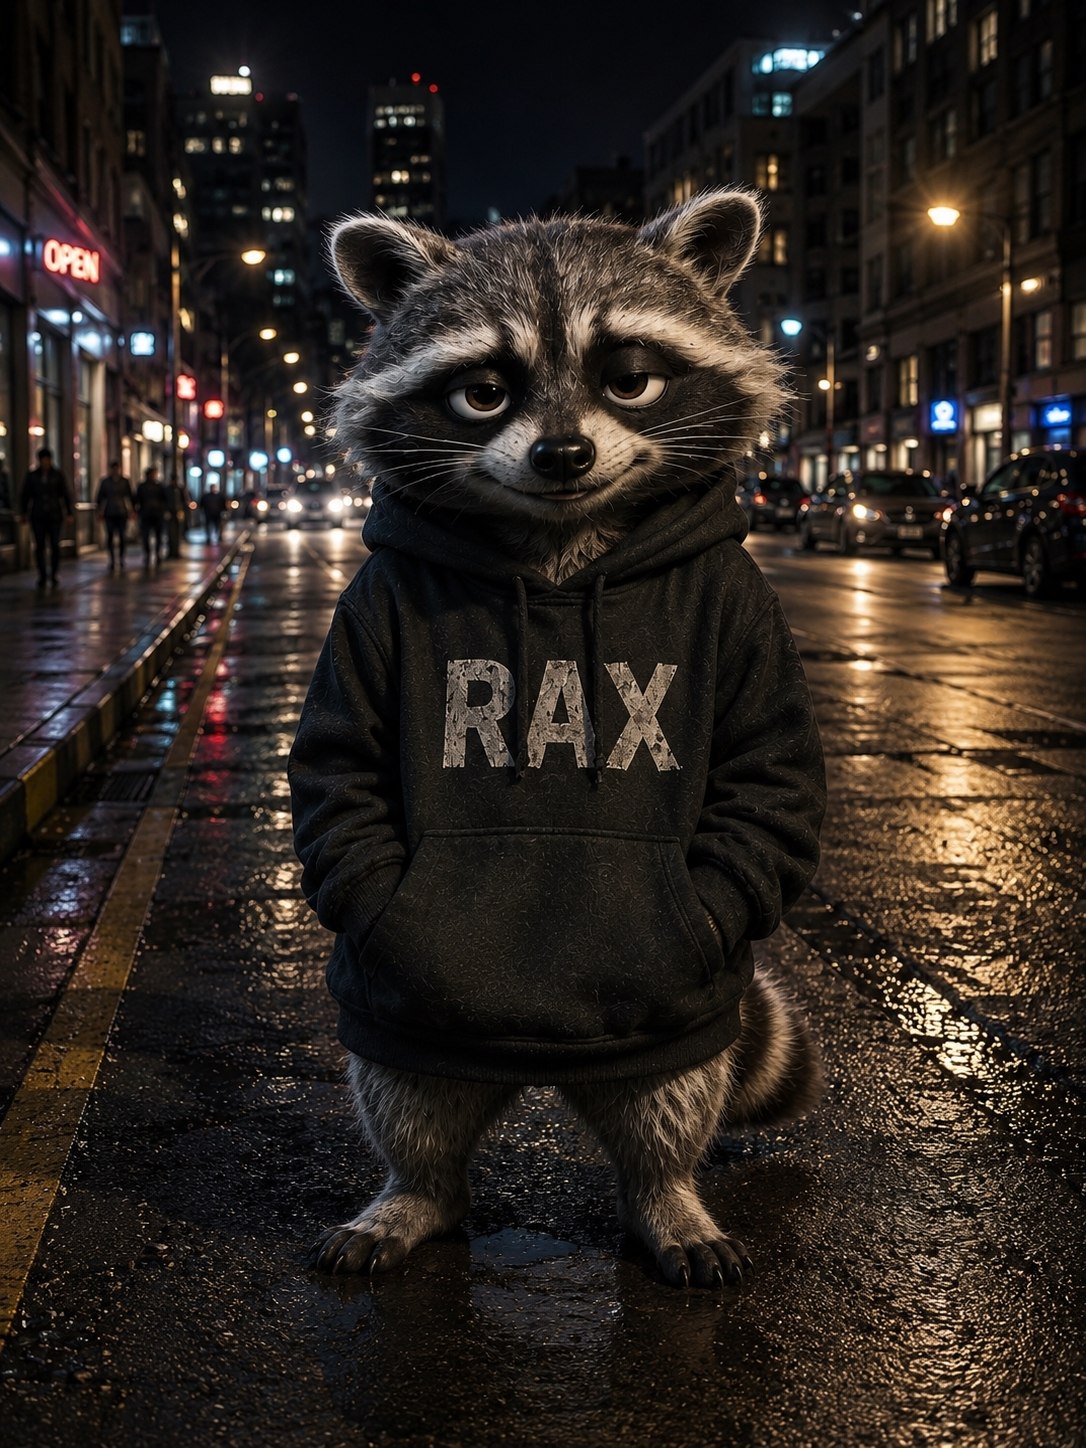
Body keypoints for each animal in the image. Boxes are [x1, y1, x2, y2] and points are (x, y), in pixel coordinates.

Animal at [288, 188, 826, 1289]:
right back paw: (416, 1188)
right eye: (484, 393)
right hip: (405, 1015)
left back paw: (668, 1194)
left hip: (678, 1019)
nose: (564, 455)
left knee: (670, 1104)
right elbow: (341, 755)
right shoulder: (367, 613)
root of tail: (540, 1082)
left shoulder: (748, 611)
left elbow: (765, 758)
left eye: (629, 379)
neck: (557, 546)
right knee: (410, 1101)